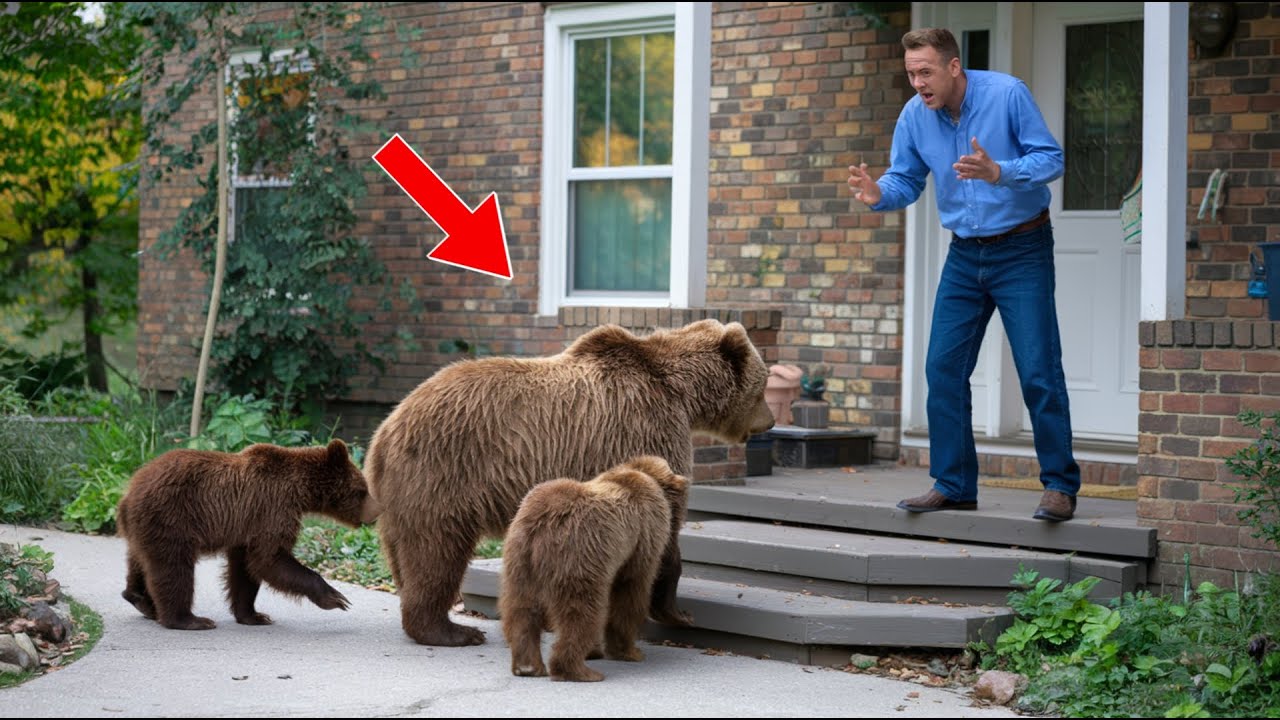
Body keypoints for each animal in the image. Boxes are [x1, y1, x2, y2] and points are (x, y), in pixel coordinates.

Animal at [116, 439, 383, 630]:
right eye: (361, 490)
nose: (376, 512)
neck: (301, 492)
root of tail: (128, 496)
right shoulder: (273, 507)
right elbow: (270, 558)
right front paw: (336, 598)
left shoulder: (247, 527)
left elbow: (245, 569)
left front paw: (254, 615)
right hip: (172, 518)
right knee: (174, 568)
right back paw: (189, 620)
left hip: (144, 528)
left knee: (140, 561)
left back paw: (140, 600)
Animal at [365, 318, 775, 647]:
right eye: (765, 383)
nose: (770, 422)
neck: (681, 393)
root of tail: (384, 432)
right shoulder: (647, 428)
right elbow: (664, 514)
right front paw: (676, 611)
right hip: (443, 473)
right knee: (437, 550)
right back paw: (455, 631)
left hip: (403, 494)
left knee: (407, 555)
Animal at [500, 455, 689, 682]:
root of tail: (541, 522)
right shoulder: (643, 537)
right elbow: (630, 591)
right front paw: (629, 651)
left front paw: (595, 651)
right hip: (580, 554)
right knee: (580, 611)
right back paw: (580, 671)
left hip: (519, 559)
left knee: (521, 608)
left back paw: (527, 666)